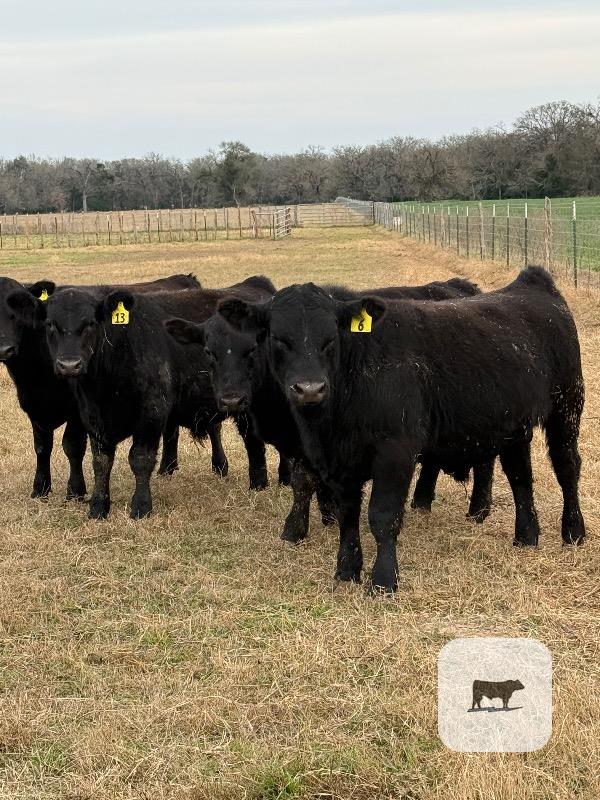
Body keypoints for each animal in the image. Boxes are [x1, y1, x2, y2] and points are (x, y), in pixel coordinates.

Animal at [0, 274, 200, 500]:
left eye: (14, 314)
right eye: (49, 324)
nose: (4, 349)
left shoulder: (78, 410)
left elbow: (72, 446)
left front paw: (75, 490)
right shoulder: (35, 408)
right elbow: (42, 447)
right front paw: (40, 488)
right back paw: (167, 468)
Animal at [41, 276, 281, 519]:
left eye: (90, 323)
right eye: (50, 324)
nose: (69, 365)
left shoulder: (152, 411)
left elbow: (140, 458)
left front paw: (141, 506)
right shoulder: (93, 416)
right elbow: (101, 461)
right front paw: (98, 506)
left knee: (254, 440)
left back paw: (262, 483)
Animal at [165, 278, 495, 544]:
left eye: (253, 348)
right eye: (209, 352)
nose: (232, 400)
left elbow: (304, 481)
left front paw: (305, 524)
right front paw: (326, 515)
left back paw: (478, 510)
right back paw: (424, 501)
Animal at [214, 267, 585, 593]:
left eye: (330, 338)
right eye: (278, 339)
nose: (309, 389)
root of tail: (532, 283)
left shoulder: (396, 452)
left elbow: (383, 515)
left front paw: (383, 580)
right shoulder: (338, 460)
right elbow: (347, 513)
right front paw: (346, 570)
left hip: (567, 404)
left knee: (567, 466)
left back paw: (573, 532)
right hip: (514, 427)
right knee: (520, 476)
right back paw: (526, 536)